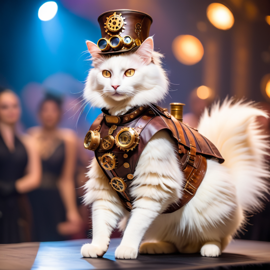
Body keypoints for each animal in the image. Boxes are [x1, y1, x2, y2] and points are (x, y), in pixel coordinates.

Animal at [80, 36, 268, 260]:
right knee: (175, 242)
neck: (120, 121)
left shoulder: (155, 184)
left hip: (214, 212)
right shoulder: (105, 185)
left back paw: (209, 249)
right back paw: (156, 246)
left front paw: (126, 249)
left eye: (130, 72)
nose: (115, 85)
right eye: (106, 74)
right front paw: (97, 247)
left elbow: (136, 223)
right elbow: (101, 219)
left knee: (220, 239)